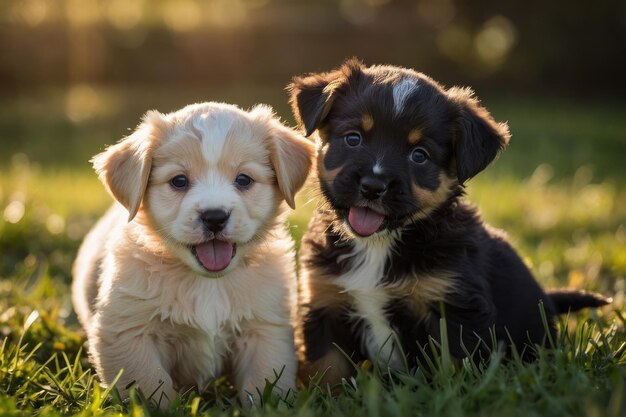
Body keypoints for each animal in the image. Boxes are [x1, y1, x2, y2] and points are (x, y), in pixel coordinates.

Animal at [72, 102, 312, 404]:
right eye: (179, 181)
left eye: (244, 179)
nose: (214, 217)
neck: (208, 283)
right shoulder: (128, 331)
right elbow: (149, 385)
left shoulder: (265, 329)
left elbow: (263, 383)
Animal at [288, 58, 608, 384]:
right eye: (353, 138)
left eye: (419, 155)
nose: (373, 186)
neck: (379, 246)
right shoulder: (324, 302)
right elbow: (326, 370)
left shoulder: (454, 308)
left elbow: (453, 372)